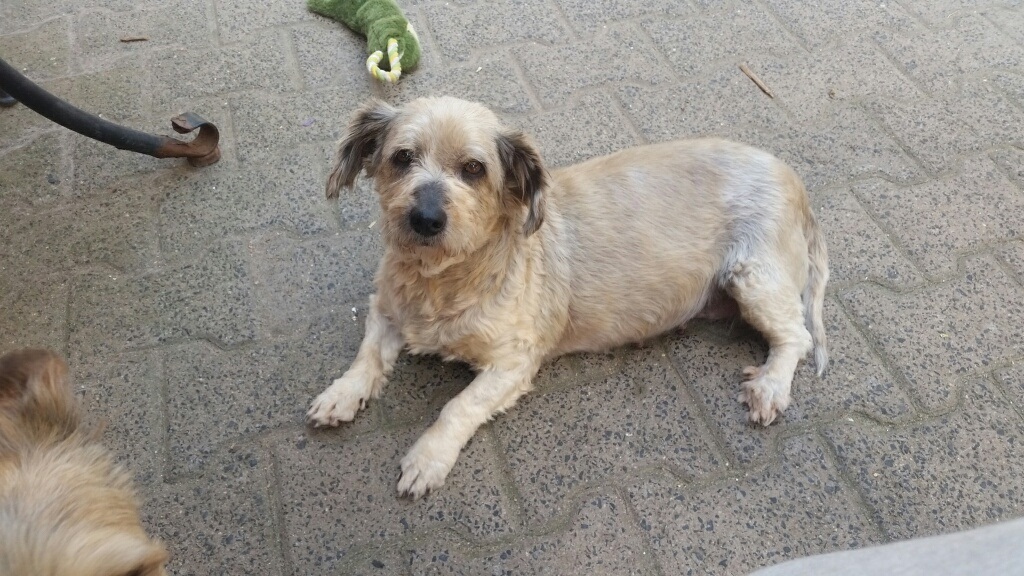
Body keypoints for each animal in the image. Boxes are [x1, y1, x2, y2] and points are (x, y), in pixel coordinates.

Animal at [308, 96, 829, 499]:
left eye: (474, 169)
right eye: (402, 158)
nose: (426, 218)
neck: (443, 278)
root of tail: (792, 178)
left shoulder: (514, 363)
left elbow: (458, 407)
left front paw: (429, 456)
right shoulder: (385, 309)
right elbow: (368, 357)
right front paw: (342, 394)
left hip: (753, 278)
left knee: (798, 337)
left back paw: (771, 386)